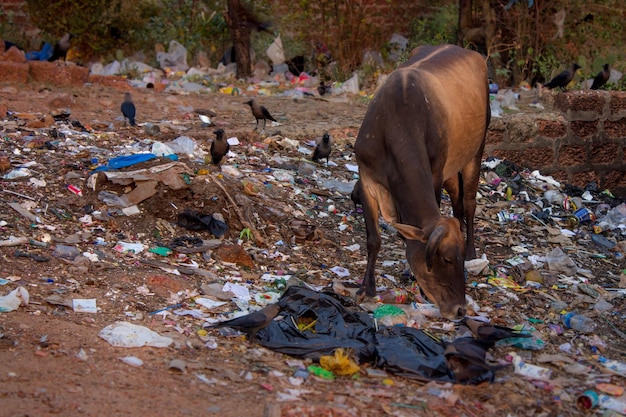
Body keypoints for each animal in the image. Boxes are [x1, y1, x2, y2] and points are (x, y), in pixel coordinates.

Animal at [352, 44, 488, 318]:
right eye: (446, 259)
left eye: (457, 260)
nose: (460, 309)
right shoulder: (367, 177)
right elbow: (373, 240)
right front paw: (366, 288)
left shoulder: (434, 173)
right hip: (452, 168)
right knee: (458, 202)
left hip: (476, 150)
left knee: (469, 202)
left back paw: (472, 250)